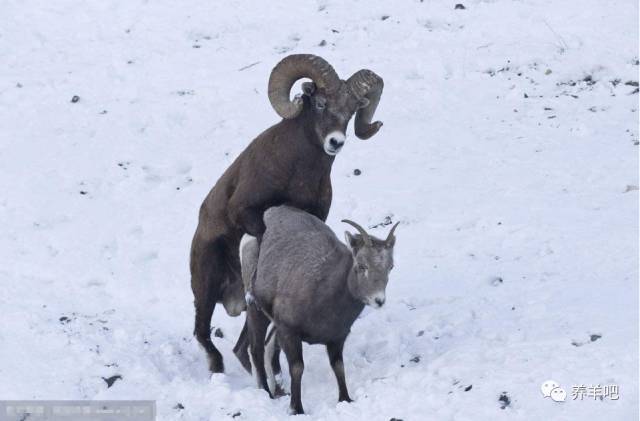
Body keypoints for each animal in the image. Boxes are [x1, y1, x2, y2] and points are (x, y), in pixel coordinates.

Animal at [188, 54, 382, 372]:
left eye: (352, 110)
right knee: (203, 334)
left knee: (243, 347)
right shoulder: (245, 211)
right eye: (321, 104)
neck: (299, 171)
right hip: (205, 286)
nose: (335, 142)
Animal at [248, 205, 398, 412]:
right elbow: (297, 368)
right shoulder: (289, 332)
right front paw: (297, 409)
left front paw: (345, 399)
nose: (379, 300)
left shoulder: (336, 339)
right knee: (256, 350)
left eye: (390, 267)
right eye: (362, 266)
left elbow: (338, 367)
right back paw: (266, 393)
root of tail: (272, 212)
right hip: (256, 310)